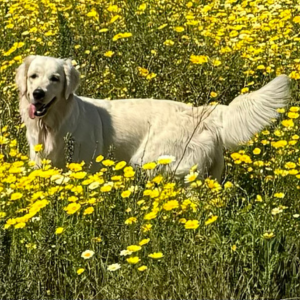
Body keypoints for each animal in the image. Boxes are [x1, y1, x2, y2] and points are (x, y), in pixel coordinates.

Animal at [15, 55, 290, 182]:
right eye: (33, 76)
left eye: (55, 78)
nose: (38, 94)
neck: (52, 125)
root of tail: (200, 111)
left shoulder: (86, 166)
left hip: (155, 161)